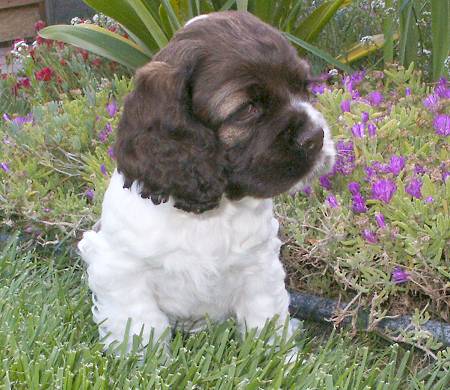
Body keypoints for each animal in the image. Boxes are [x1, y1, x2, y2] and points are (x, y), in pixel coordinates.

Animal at [79, 11, 336, 354]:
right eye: (248, 108)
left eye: (304, 86)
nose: (316, 137)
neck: (208, 214)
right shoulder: (120, 267)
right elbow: (143, 327)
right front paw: (144, 361)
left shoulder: (259, 264)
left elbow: (266, 319)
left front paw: (281, 359)